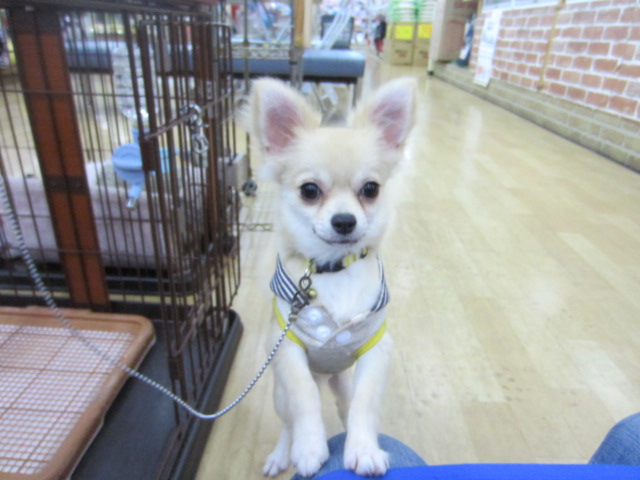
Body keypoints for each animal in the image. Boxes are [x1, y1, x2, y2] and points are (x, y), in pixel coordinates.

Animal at [248, 77, 416, 478]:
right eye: (310, 190)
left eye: (371, 189)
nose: (344, 221)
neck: (334, 269)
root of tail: (326, 373)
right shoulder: (288, 348)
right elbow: (305, 397)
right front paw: (309, 448)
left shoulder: (377, 349)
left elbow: (365, 402)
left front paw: (365, 449)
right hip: (278, 391)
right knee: (288, 420)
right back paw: (283, 453)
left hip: (342, 381)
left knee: (345, 406)